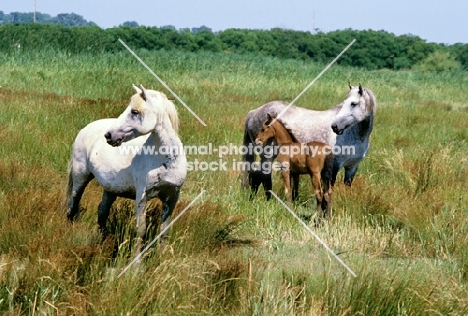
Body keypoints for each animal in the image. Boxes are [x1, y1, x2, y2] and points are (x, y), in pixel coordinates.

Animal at [66, 85, 186, 253]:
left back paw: (103, 243)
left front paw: (162, 258)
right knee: (72, 206)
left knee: (102, 211)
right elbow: (140, 230)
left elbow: (164, 232)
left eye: (134, 111)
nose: (109, 135)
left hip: (110, 189)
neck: (165, 160)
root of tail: (86, 128)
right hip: (80, 178)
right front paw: (136, 260)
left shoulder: (172, 196)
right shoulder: (142, 196)